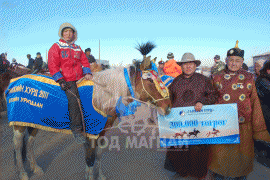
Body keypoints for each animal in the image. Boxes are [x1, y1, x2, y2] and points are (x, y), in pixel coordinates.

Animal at [8, 56, 171, 180]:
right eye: (150, 81)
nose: (168, 106)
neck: (102, 96)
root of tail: (15, 80)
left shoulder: (100, 131)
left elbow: (97, 155)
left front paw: (98, 175)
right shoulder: (91, 132)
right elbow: (90, 157)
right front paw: (91, 176)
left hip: (32, 122)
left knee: (29, 143)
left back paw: (35, 168)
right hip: (19, 125)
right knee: (17, 145)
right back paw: (23, 173)